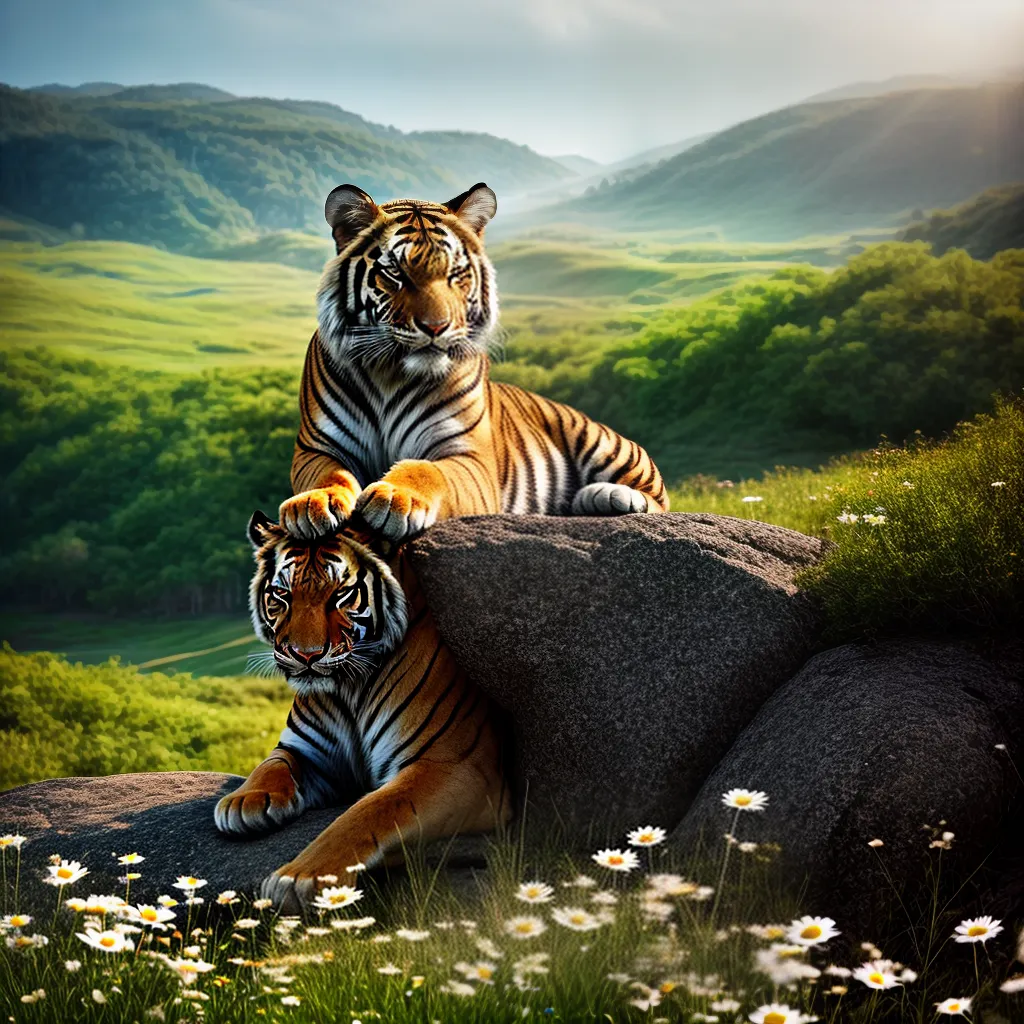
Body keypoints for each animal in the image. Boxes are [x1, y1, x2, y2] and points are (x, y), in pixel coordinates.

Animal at [215, 510, 510, 913]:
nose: (305, 655)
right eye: (282, 595)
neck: (350, 688)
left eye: (340, 594)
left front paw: (301, 879)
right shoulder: (310, 752)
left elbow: (370, 810)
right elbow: (271, 763)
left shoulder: (455, 766)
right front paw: (244, 801)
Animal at [279, 181, 668, 543]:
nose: (436, 327)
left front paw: (395, 497)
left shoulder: (469, 457)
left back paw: (609, 496)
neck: (391, 373)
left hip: (600, 441)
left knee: (658, 499)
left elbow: (426, 469)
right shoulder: (317, 446)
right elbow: (327, 473)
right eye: (396, 274)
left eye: (455, 273)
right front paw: (314, 502)